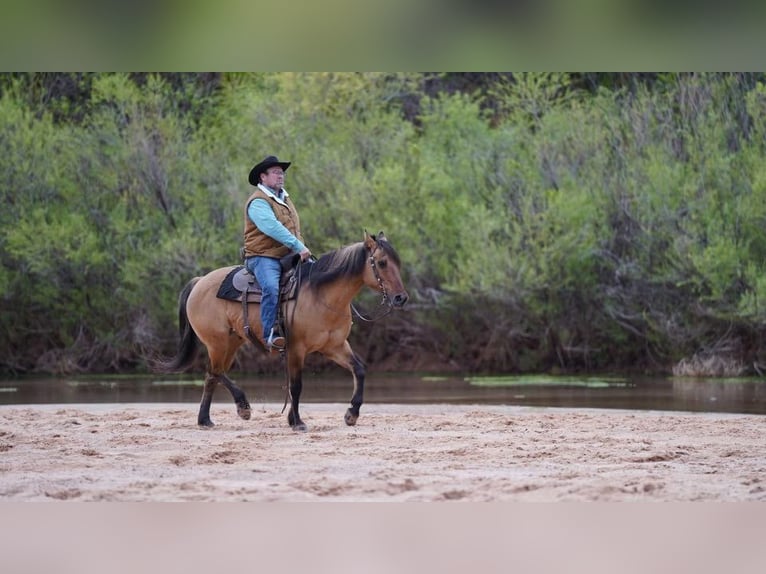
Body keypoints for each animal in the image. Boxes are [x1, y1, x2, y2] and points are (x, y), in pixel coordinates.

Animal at [152, 232, 412, 430]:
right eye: (382, 263)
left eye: (397, 263)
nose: (401, 298)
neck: (321, 294)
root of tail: (199, 281)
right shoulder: (296, 349)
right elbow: (296, 385)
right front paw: (296, 422)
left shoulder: (334, 346)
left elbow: (359, 370)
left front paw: (351, 414)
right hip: (217, 343)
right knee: (213, 371)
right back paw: (228, 411)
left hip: (232, 342)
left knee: (213, 374)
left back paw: (215, 416)